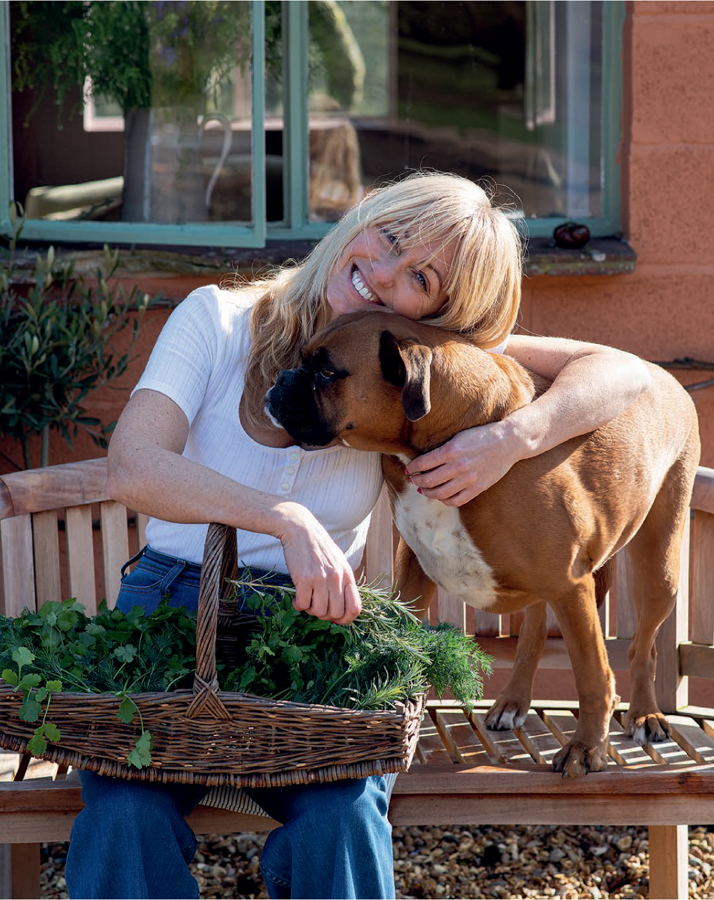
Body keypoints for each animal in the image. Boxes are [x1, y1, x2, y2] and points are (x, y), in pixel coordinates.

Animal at [264, 310, 700, 772]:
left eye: (327, 372)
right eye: (302, 360)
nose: (283, 377)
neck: (445, 435)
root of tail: (659, 372)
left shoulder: (571, 585)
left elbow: (592, 676)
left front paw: (586, 748)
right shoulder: (415, 571)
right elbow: (402, 639)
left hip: (658, 572)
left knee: (643, 647)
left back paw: (645, 714)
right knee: (533, 633)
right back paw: (513, 701)